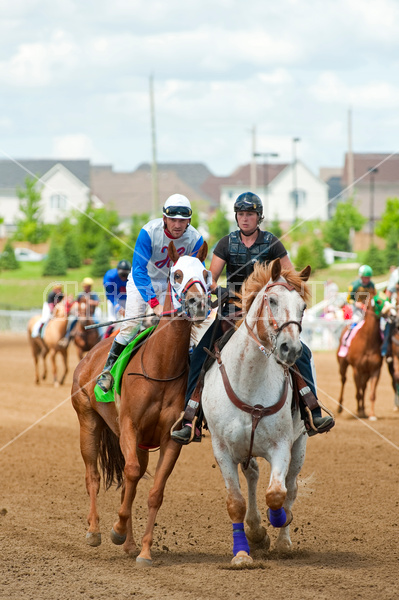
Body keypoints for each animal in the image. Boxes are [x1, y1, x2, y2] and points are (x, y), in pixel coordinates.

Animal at [71, 240, 211, 568]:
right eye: (177, 274)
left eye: (206, 273)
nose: (198, 304)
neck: (162, 366)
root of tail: (89, 357)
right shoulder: (129, 426)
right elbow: (131, 474)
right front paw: (117, 529)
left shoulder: (171, 438)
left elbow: (153, 491)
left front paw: (143, 551)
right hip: (88, 421)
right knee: (94, 476)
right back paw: (95, 531)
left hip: (141, 444)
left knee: (128, 482)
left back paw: (130, 544)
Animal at [203, 258, 312, 564]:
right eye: (272, 300)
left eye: (303, 306)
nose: (290, 349)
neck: (249, 379)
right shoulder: (222, 450)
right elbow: (236, 502)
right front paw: (242, 553)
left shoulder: (281, 446)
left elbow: (276, 494)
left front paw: (278, 521)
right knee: (251, 476)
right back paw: (254, 530)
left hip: (300, 445)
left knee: (291, 487)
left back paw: (282, 540)